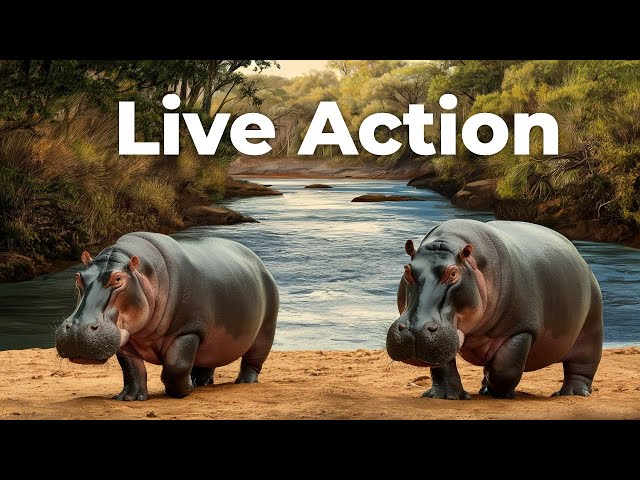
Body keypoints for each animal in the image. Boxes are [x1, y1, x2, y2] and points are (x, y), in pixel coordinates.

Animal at [57, 232, 280, 402]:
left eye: (118, 278)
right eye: (78, 277)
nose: (76, 329)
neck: (143, 273)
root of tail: (258, 262)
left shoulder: (188, 331)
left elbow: (176, 365)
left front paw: (184, 390)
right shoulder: (125, 338)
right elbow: (132, 369)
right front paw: (129, 397)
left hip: (265, 331)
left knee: (253, 360)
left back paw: (244, 382)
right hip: (212, 340)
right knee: (207, 361)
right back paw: (201, 383)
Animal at [388, 219, 604, 400]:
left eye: (453, 273)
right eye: (407, 269)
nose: (414, 330)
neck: (451, 242)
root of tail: (582, 261)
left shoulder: (520, 329)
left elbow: (506, 369)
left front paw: (493, 390)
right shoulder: (446, 336)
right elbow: (442, 366)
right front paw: (445, 396)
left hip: (591, 329)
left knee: (582, 365)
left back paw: (573, 393)